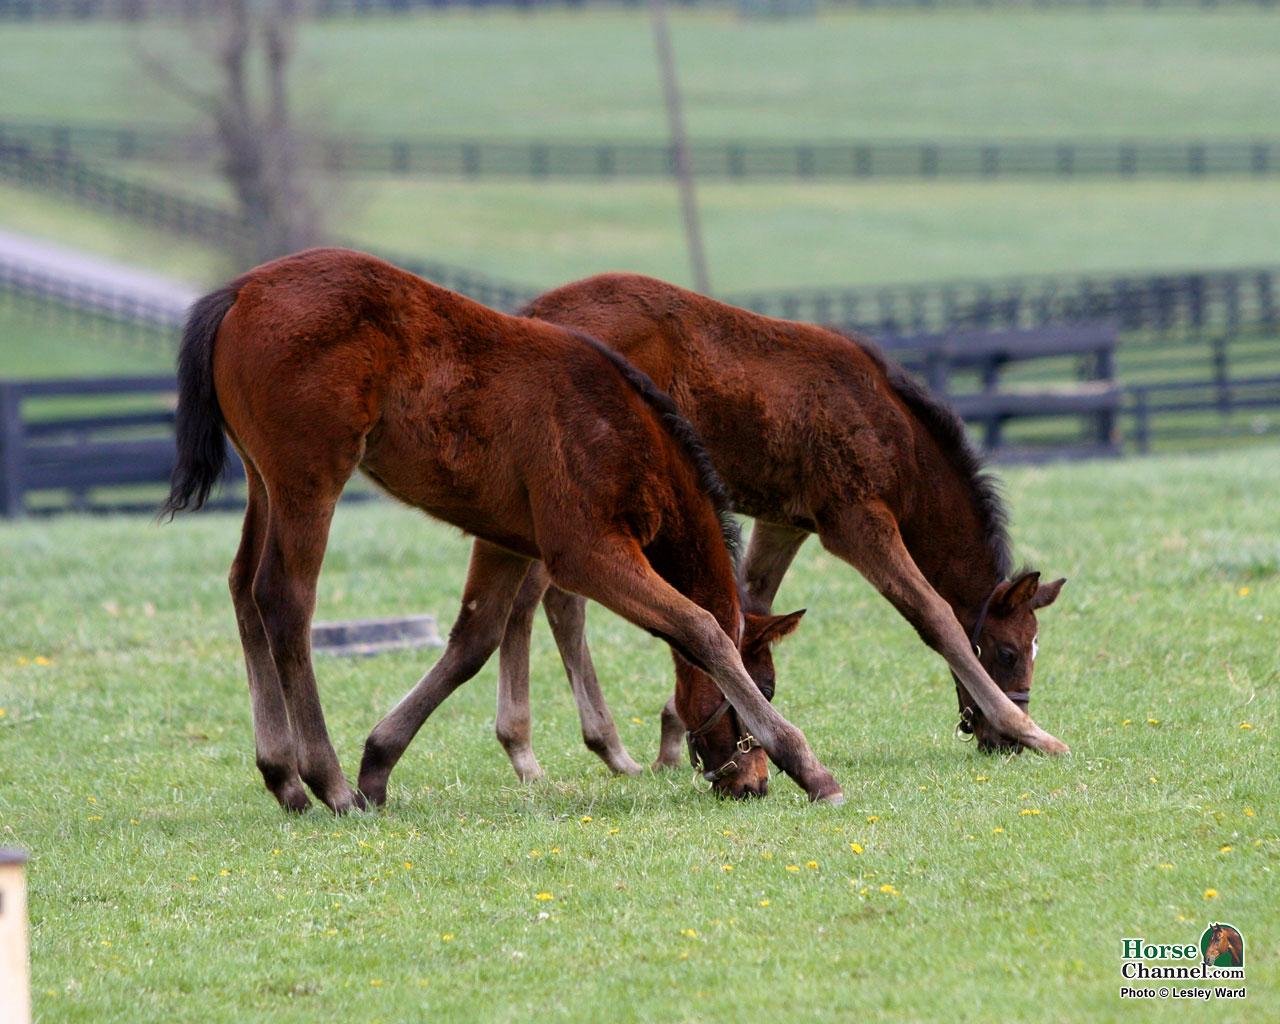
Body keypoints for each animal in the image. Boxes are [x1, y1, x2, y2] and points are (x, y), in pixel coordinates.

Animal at [160, 248, 842, 812]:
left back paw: (285, 779)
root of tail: (241, 290)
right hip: (309, 479)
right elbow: (700, 628)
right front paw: (811, 769)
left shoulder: (506, 539)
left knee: (242, 586)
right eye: (767, 688)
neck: (622, 427)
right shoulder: (584, 550)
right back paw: (326, 783)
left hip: (263, 481)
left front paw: (379, 764)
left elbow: (475, 639)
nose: (750, 784)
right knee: (284, 598)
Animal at [487, 272, 1069, 782]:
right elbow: (935, 615)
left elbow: (750, 601)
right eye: (1008, 652)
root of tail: (529, 315)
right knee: (532, 602)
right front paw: (1032, 731)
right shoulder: (856, 520)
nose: (1003, 746)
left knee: (555, 602)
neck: (890, 429)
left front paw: (684, 731)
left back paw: (599, 749)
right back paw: (528, 751)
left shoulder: (786, 522)